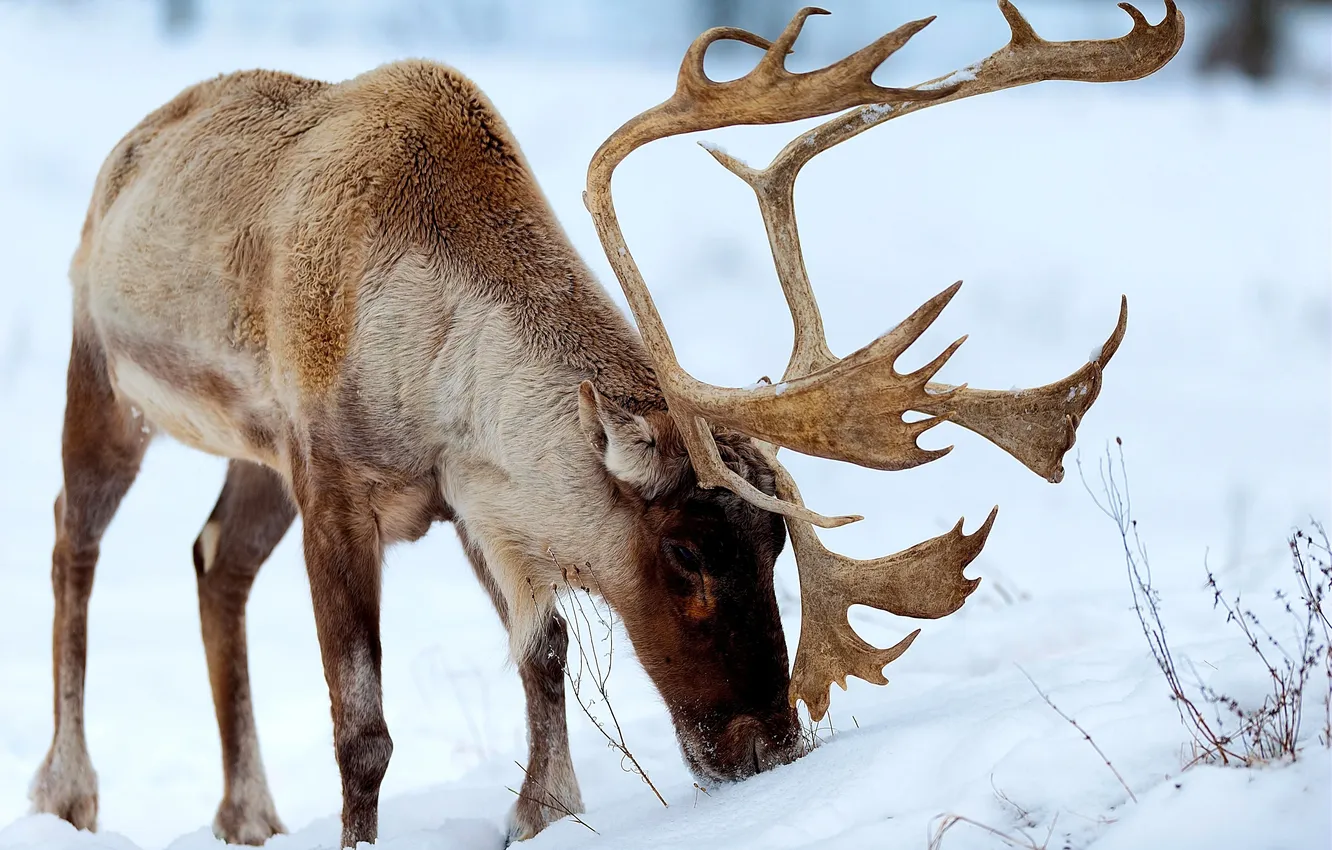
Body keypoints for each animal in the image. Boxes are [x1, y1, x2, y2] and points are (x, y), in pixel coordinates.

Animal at [29, 2, 1183, 847]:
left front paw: (543, 809)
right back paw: (68, 790)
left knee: (215, 557)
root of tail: (134, 144)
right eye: (684, 551)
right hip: (104, 374)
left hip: (252, 458)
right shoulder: (334, 480)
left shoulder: (473, 500)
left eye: (775, 543)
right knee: (71, 544)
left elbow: (542, 655)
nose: (768, 744)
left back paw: (249, 813)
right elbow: (364, 731)